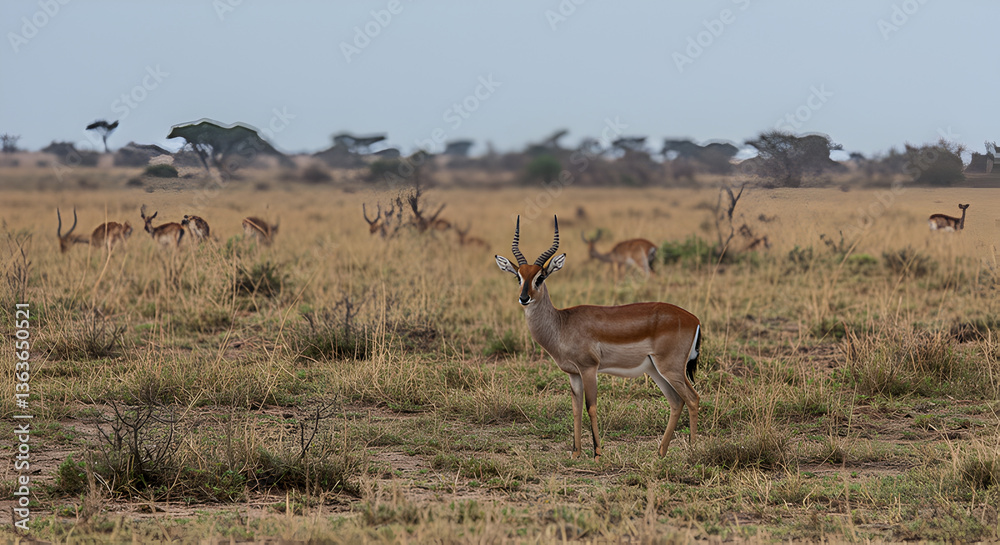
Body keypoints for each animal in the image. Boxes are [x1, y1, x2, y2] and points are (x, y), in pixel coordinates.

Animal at [495, 217, 701, 460]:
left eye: (541, 277)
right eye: (518, 276)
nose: (524, 298)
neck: (562, 323)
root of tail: (694, 319)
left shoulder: (589, 369)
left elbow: (591, 406)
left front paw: (597, 452)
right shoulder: (573, 374)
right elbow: (575, 409)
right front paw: (575, 453)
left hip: (671, 369)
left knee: (692, 398)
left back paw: (693, 451)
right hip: (656, 371)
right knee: (676, 401)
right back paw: (660, 452)